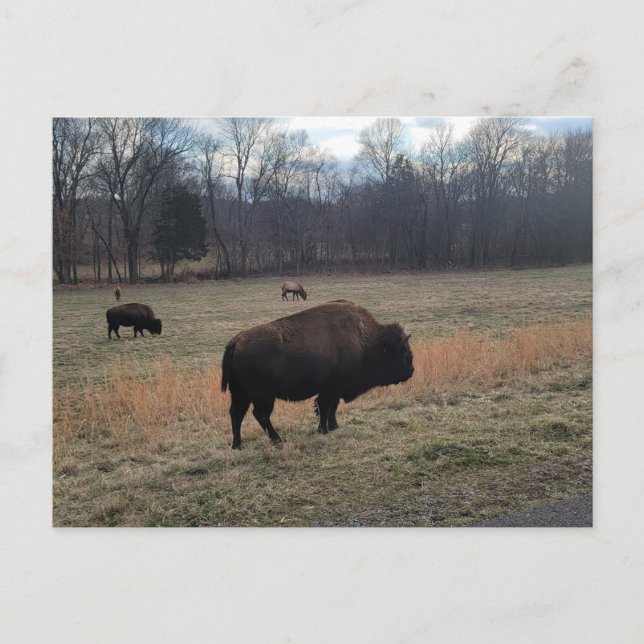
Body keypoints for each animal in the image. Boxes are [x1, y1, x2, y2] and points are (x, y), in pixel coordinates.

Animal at [220, 300, 414, 449]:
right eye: (402, 352)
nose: (411, 370)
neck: (367, 341)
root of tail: (236, 341)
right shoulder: (330, 389)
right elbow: (324, 407)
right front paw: (323, 430)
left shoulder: (335, 390)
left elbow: (332, 407)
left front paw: (333, 427)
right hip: (263, 396)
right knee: (260, 414)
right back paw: (277, 441)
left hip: (240, 394)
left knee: (237, 414)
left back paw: (237, 445)